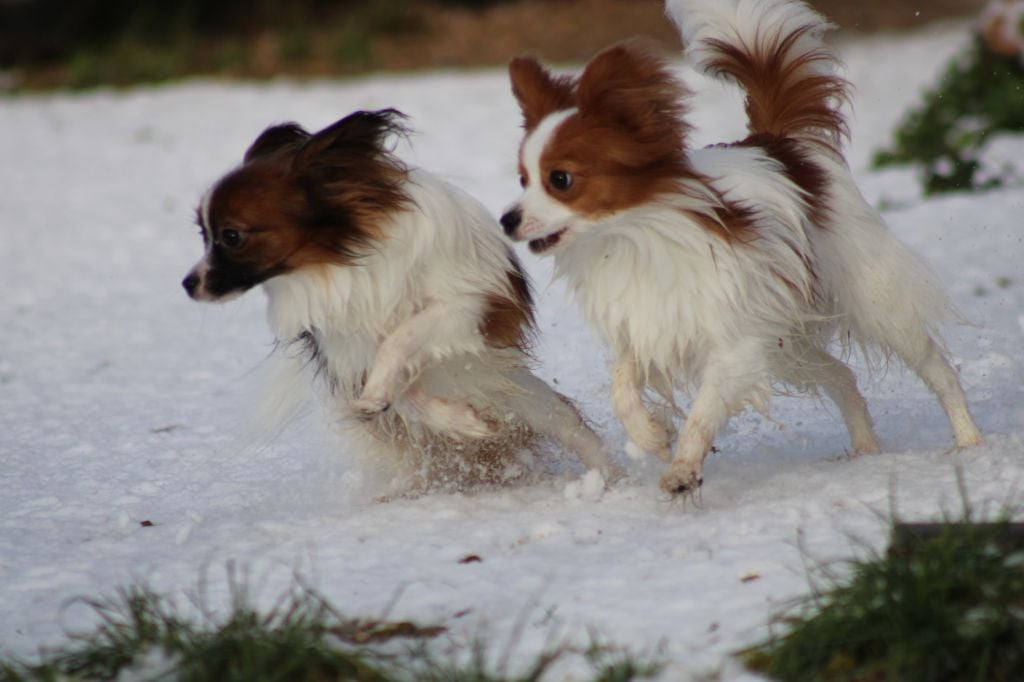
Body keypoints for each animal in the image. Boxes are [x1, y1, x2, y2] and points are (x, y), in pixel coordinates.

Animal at [181, 107, 618, 489]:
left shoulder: (465, 309)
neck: (340, 263)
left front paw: (388, 391)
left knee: (577, 432)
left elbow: (399, 340)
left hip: (529, 399)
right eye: (203, 234)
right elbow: (401, 395)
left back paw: (609, 480)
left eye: (231, 236)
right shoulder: (349, 356)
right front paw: (456, 420)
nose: (187, 283)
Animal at [499, 2, 978, 497]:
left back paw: (969, 443)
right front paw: (652, 435)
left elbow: (702, 413)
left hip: (873, 302)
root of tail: (784, 147)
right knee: (842, 376)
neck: (631, 235)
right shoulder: (648, 327)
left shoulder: (734, 347)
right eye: (523, 179)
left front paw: (683, 468)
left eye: (560, 180)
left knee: (937, 368)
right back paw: (865, 450)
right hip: (786, 339)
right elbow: (622, 390)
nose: (507, 220)